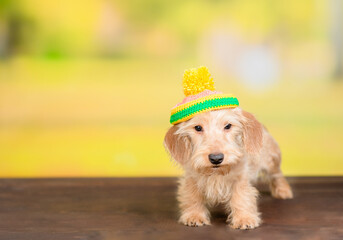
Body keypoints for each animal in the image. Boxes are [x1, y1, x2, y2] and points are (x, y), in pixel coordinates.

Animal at [165, 108, 294, 230]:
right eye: (198, 127)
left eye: (228, 126)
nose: (216, 158)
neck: (216, 173)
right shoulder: (192, 178)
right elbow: (192, 196)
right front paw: (194, 215)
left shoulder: (240, 179)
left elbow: (241, 197)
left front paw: (244, 219)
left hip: (270, 160)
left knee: (277, 174)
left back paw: (283, 191)